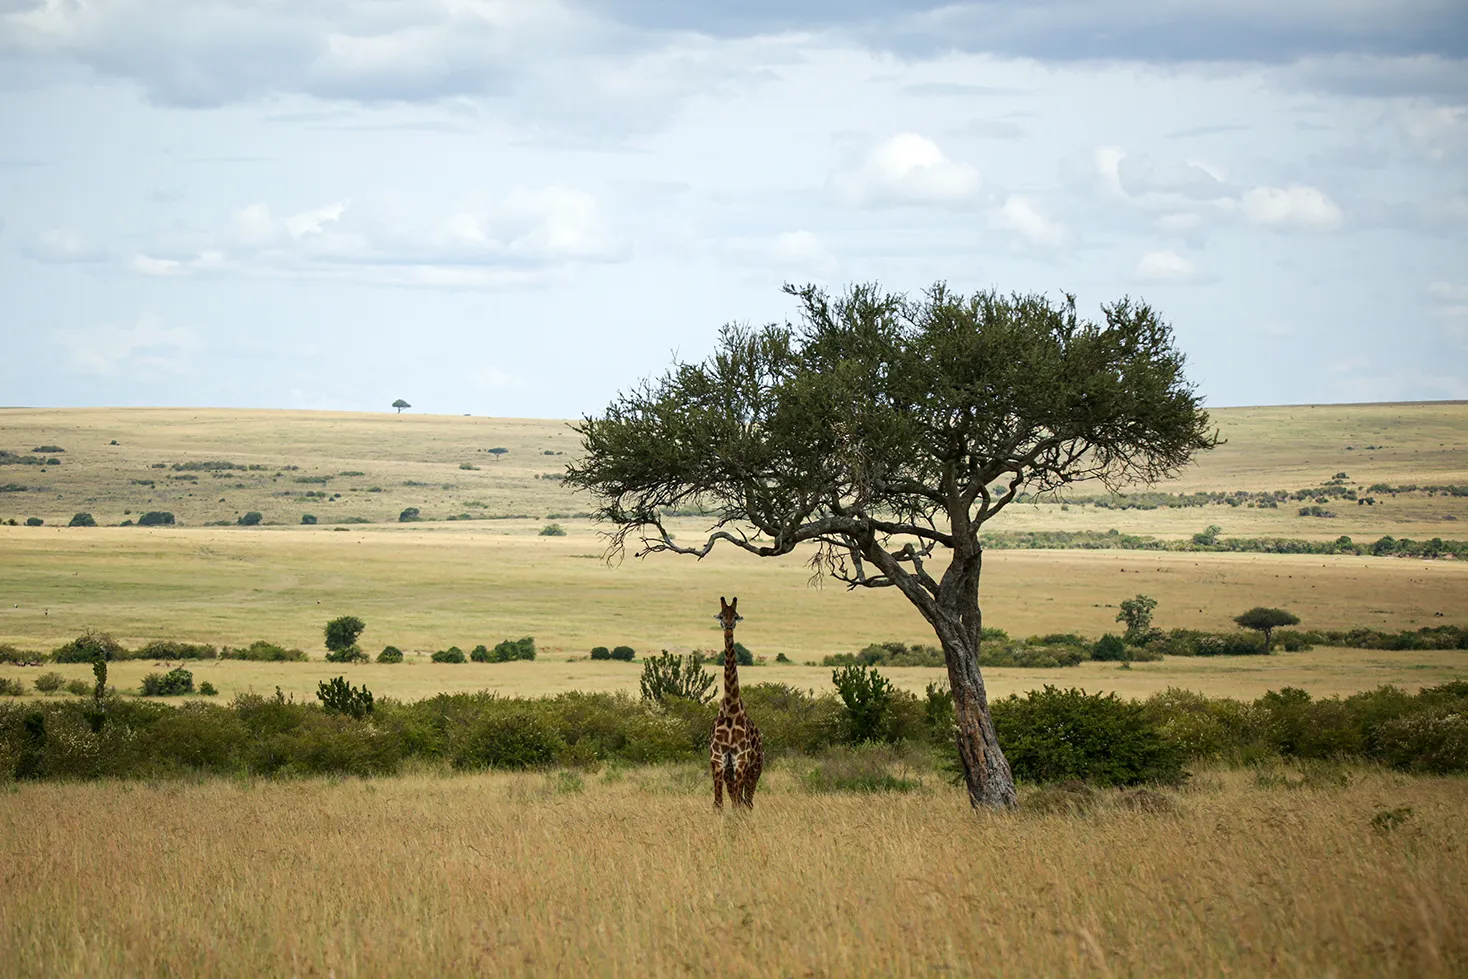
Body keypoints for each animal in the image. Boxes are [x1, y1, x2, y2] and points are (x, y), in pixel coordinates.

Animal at [710, 596, 764, 810]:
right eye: (721, 615)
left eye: (736, 615)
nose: (728, 627)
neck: (731, 710)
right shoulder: (719, 760)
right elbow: (718, 803)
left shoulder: (741, 759)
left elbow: (738, 804)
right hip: (731, 772)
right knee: (737, 798)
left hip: (755, 770)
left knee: (747, 802)